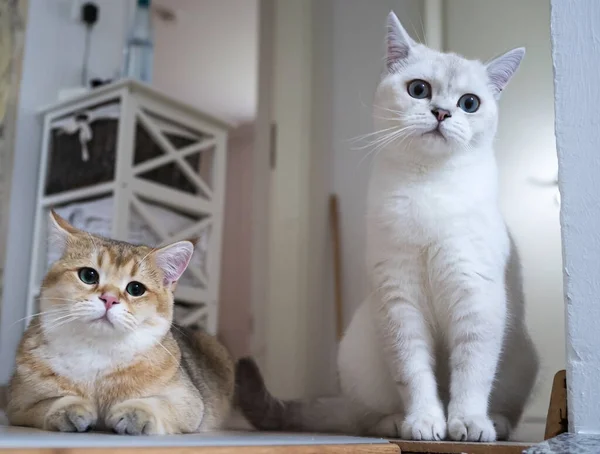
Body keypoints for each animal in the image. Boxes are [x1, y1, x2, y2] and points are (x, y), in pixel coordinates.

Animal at [9, 211, 234, 434]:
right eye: (88, 275)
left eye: (136, 289)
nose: (109, 299)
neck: (97, 351)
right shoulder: (16, 403)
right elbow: (46, 403)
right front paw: (68, 408)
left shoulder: (189, 401)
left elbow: (161, 404)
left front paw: (136, 413)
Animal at [236, 11, 540, 444]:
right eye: (419, 90)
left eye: (469, 103)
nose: (442, 113)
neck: (429, 185)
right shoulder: (399, 299)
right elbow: (414, 374)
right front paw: (426, 423)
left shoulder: (475, 296)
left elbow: (471, 373)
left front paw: (467, 424)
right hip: (359, 347)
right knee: (363, 418)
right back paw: (395, 423)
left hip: (523, 357)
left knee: (503, 404)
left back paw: (494, 423)